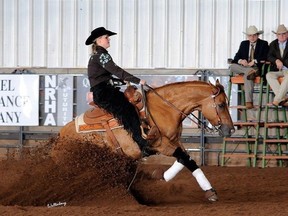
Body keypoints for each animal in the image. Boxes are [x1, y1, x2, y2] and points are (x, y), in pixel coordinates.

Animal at [53, 79, 235, 202]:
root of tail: (61, 136)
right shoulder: (162, 145)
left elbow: (186, 160)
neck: (164, 109)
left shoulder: (175, 141)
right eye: (220, 105)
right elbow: (186, 159)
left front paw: (159, 176)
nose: (231, 130)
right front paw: (211, 192)